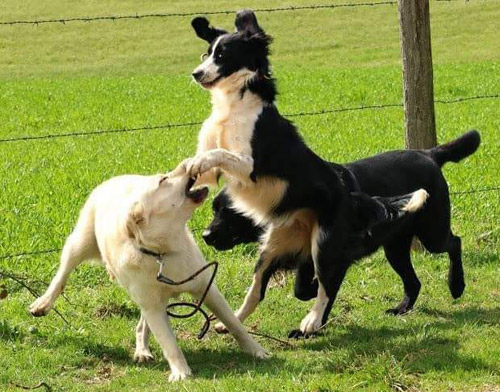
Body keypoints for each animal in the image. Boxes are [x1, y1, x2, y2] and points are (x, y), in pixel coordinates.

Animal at [188, 10, 480, 338]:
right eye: (207, 52)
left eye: (222, 55)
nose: (196, 74)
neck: (237, 105)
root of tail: (428, 153)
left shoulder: (252, 163)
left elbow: (218, 155)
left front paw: (196, 164)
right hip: (352, 245)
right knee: (259, 290)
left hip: (406, 234)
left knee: (451, 243)